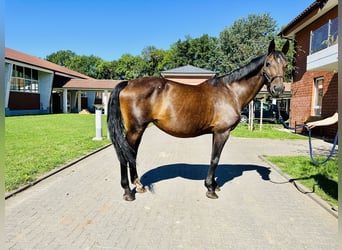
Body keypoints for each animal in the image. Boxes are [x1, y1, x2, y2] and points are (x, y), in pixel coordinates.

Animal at [108, 39, 290, 201]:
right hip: (135, 129)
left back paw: (138, 185)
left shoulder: (216, 132)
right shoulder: (222, 132)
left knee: (131, 153)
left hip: (138, 129)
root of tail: (128, 83)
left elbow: (214, 157)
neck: (231, 92)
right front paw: (210, 189)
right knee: (124, 155)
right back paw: (128, 192)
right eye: (268, 63)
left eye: (286, 65)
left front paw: (213, 184)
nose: (278, 89)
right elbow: (215, 158)